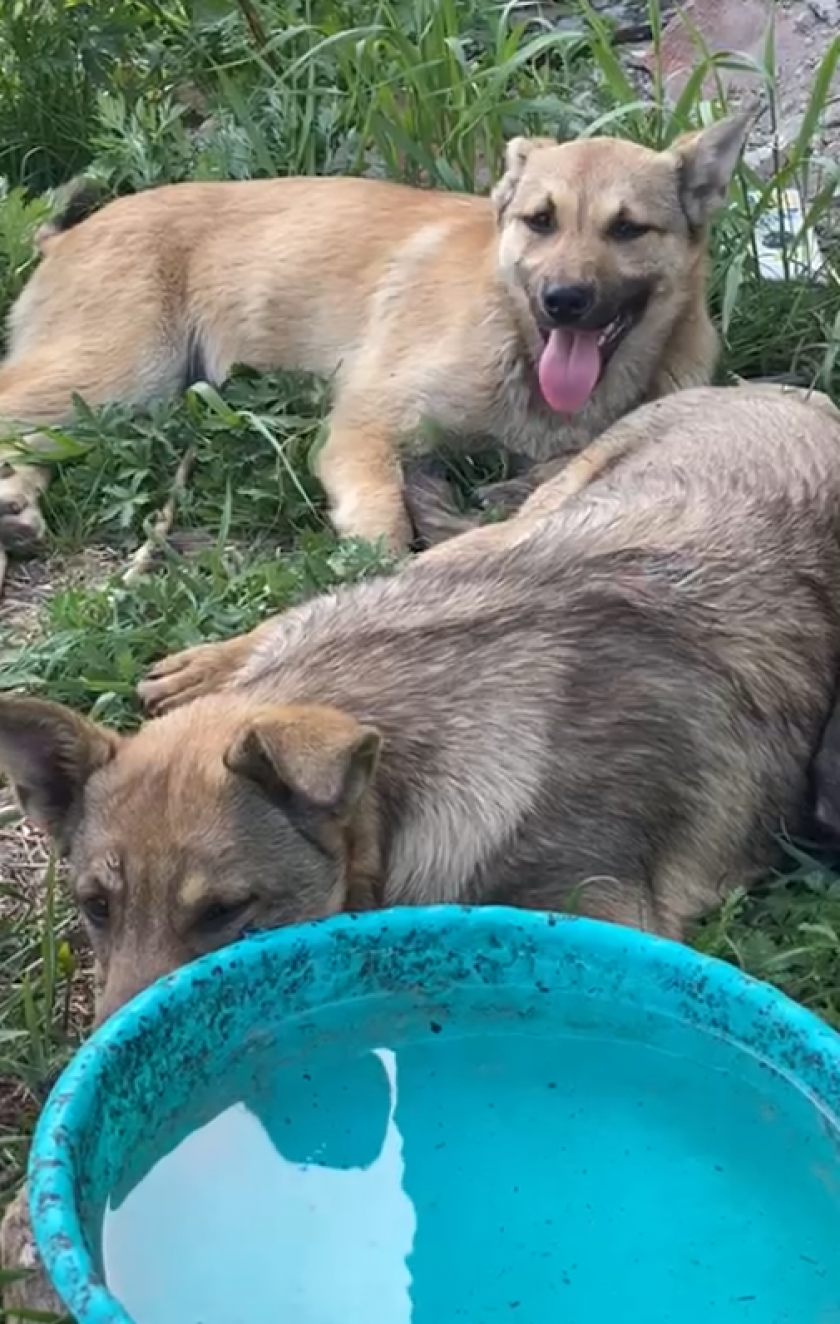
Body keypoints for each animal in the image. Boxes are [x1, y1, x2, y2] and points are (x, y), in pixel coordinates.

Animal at [0, 115, 747, 564]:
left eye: (627, 229)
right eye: (541, 220)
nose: (562, 301)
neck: (517, 341)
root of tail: (66, 234)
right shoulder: (364, 426)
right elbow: (385, 521)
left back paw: (17, 508)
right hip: (122, 374)